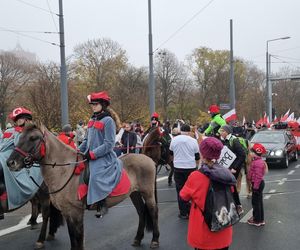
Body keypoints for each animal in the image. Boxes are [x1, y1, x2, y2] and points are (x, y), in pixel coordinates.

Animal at [6, 123, 159, 250]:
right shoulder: (67, 212)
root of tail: (148, 159)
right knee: (141, 212)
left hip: (147, 193)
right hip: (134, 193)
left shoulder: (77, 212)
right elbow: (73, 238)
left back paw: (155, 240)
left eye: (33, 138)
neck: (65, 171)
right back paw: (138, 239)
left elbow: (78, 238)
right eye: (19, 138)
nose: (10, 162)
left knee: (153, 212)